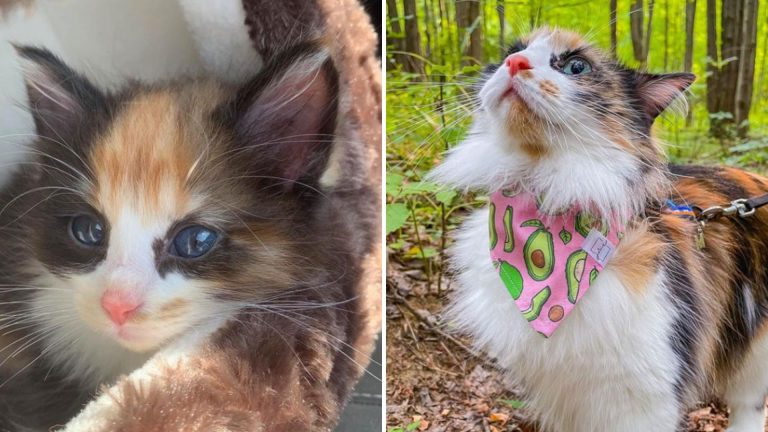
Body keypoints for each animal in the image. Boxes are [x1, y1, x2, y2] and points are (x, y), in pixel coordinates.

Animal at [428, 27, 768, 432]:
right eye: (512, 51)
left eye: (577, 67)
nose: (514, 63)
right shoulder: (566, 398)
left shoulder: (642, 399)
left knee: (748, 405)